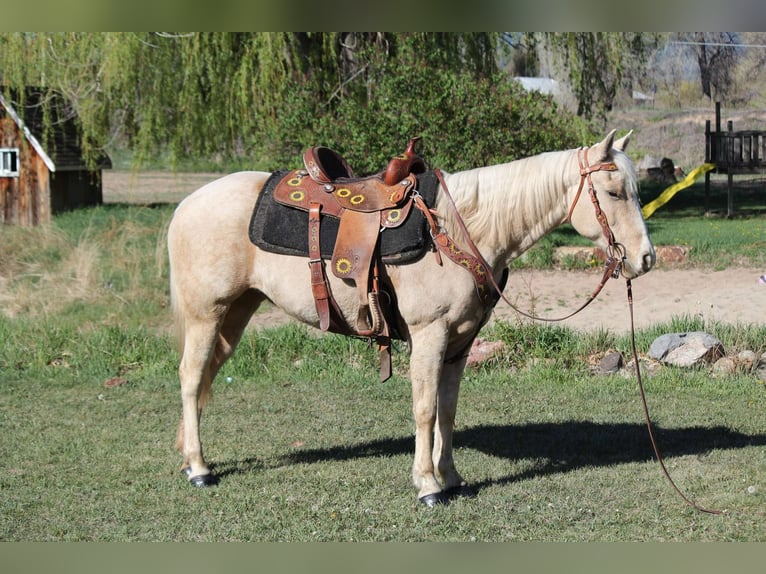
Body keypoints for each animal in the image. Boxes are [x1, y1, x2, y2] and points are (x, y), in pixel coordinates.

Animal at [167, 129, 656, 506]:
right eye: (613, 193)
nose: (645, 259)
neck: (462, 228)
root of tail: (186, 204)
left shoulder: (461, 342)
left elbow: (448, 410)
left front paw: (451, 477)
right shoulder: (429, 335)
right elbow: (424, 409)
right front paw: (428, 486)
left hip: (236, 312)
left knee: (206, 373)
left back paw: (188, 456)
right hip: (206, 313)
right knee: (190, 377)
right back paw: (199, 468)